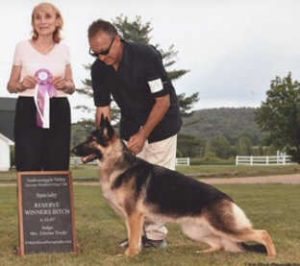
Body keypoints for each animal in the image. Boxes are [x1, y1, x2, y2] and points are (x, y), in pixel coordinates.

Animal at [72, 117, 276, 256]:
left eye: (91, 140)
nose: (72, 150)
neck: (119, 164)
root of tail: (227, 198)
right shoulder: (131, 218)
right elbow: (133, 238)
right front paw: (133, 252)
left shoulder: (134, 216)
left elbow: (133, 240)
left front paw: (129, 255)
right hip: (194, 230)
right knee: (218, 244)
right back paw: (202, 253)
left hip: (224, 227)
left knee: (263, 233)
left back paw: (272, 255)